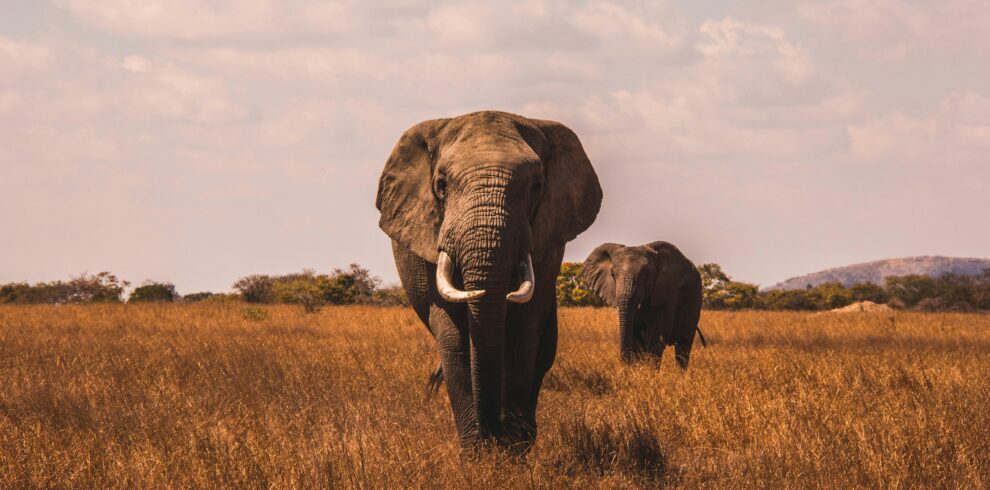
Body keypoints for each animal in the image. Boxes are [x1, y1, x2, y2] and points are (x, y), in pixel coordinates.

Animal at [375, 111, 602, 451]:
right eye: (441, 184)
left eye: (536, 186)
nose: (494, 434)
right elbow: (454, 338)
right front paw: (477, 453)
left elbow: (525, 333)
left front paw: (514, 449)